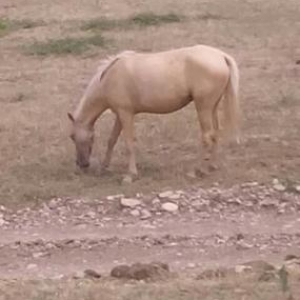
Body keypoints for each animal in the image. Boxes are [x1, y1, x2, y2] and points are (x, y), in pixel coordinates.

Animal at [67, 43, 239, 182]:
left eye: (72, 136)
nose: (82, 164)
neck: (109, 77)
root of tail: (221, 56)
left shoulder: (126, 114)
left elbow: (129, 143)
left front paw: (130, 175)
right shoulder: (120, 115)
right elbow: (112, 140)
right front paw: (104, 167)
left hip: (203, 107)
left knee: (207, 137)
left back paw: (196, 171)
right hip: (212, 106)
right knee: (215, 133)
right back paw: (212, 166)